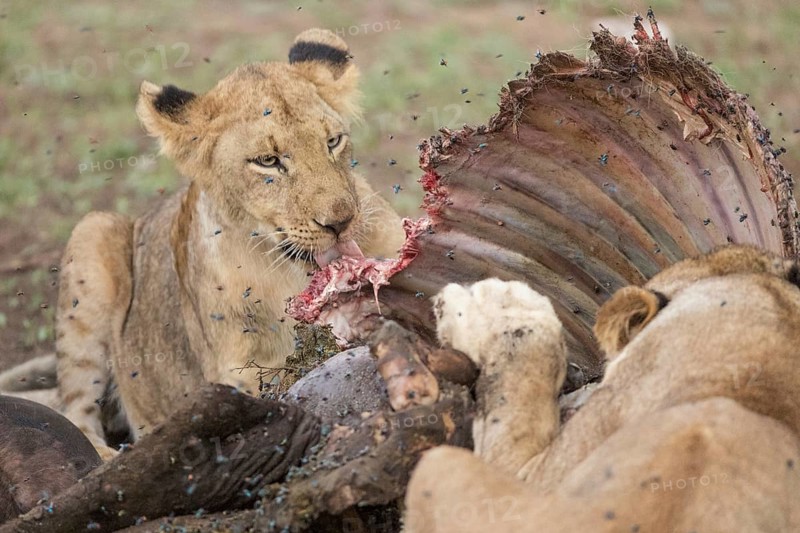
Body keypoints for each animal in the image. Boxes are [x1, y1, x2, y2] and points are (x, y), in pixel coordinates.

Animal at [48, 29, 404, 460]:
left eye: (333, 141)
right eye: (267, 161)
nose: (340, 222)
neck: (289, 276)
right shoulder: (234, 377)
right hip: (93, 231)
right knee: (76, 415)